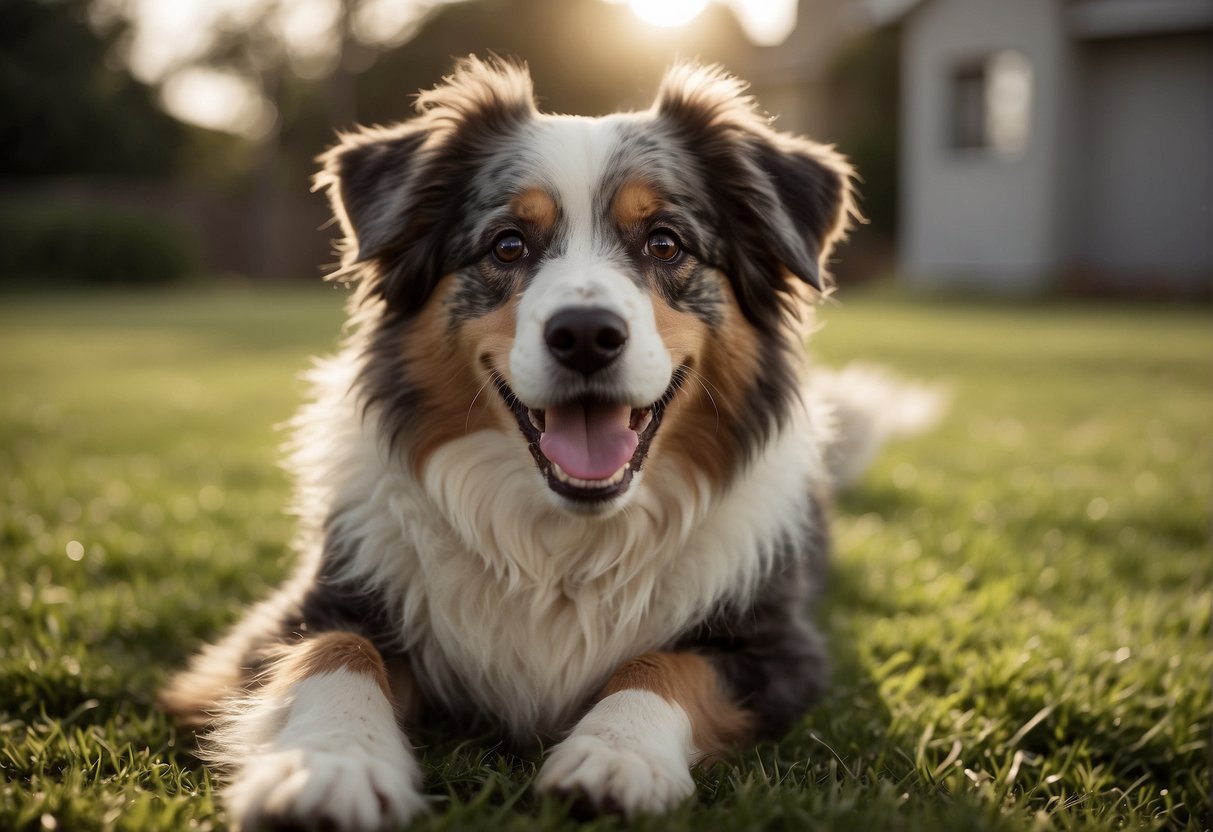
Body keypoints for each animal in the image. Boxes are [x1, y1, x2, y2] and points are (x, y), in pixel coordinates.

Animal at [161, 55, 931, 829]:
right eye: (508, 244)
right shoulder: (288, 616)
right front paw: (331, 766)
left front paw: (616, 755)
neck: (562, 545)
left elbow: (665, 664)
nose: (585, 334)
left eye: (665, 242)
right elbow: (336, 650)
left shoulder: (779, 650)